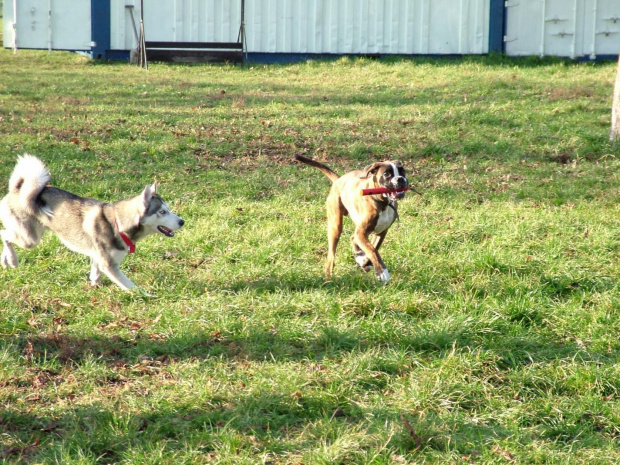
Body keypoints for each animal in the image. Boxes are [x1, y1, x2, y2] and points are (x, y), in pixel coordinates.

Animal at [0, 155, 184, 290]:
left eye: (169, 209)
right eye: (162, 212)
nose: (182, 221)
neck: (118, 224)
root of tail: (17, 191)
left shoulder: (98, 257)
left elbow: (95, 272)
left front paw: (95, 284)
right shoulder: (109, 266)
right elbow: (131, 286)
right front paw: (146, 296)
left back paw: (6, 261)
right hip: (30, 239)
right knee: (4, 235)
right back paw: (12, 259)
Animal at [294, 154, 410, 282]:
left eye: (402, 171)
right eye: (386, 174)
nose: (400, 179)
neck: (383, 202)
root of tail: (339, 179)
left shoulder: (381, 232)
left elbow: (373, 248)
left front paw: (364, 261)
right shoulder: (361, 232)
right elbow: (372, 250)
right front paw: (382, 272)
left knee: (353, 238)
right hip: (335, 227)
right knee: (331, 256)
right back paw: (328, 277)